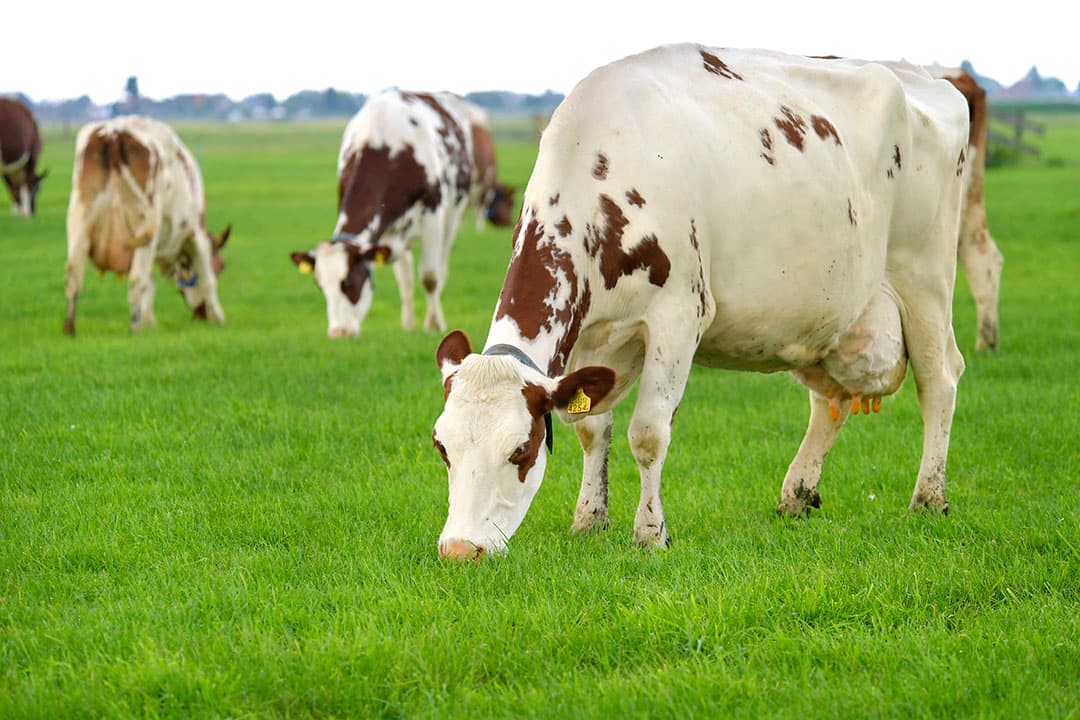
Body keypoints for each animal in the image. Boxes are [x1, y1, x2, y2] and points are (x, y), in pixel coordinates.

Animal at [64, 115, 230, 335]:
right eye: (221, 266)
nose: (200, 315)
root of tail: (114, 132)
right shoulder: (196, 232)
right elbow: (207, 277)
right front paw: (218, 317)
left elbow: (151, 285)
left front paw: (149, 322)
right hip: (144, 227)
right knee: (136, 279)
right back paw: (133, 329)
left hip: (79, 222)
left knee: (73, 273)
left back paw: (70, 329)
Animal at [290, 89, 515, 339]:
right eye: (320, 286)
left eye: (349, 283)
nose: (339, 332)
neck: (386, 145)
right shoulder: (387, 232)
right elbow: (404, 280)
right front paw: (408, 325)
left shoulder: (433, 215)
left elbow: (430, 276)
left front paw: (434, 325)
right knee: (406, 274)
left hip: (454, 213)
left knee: (441, 265)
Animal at [431, 43, 969, 561]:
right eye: (442, 448)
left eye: (521, 450)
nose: (460, 550)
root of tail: (926, 76)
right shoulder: (588, 335)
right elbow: (591, 427)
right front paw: (589, 520)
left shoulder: (678, 314)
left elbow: (648, 434)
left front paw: (651, 535)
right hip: (830, 312)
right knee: (830, 401)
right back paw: (796, 495)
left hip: (925, 279)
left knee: (939, 382)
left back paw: (928, 499)